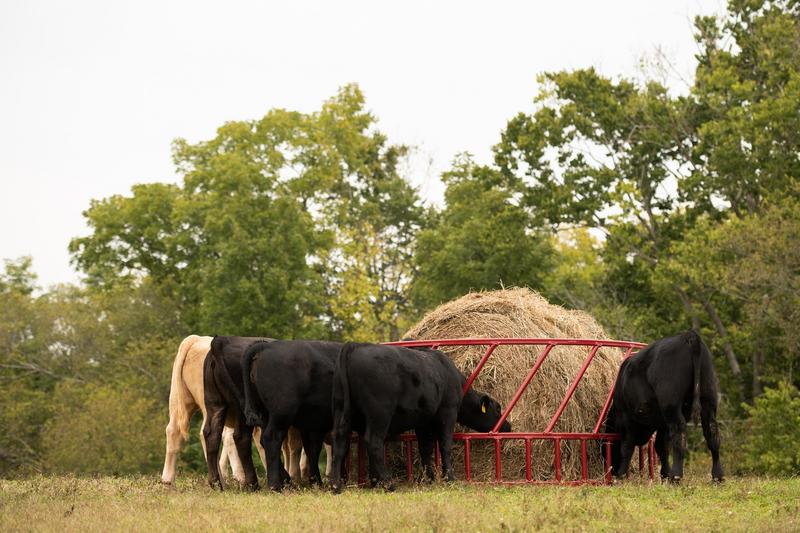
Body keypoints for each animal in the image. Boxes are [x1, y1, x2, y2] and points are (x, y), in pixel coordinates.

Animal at [161, 335, 305, 487]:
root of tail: (197, 339)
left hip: (181, 400)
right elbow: (293, 445)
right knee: (212, 434)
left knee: (175, 430)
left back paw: (169, 479)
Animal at [242, 339, 343, 491]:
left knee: (265, 441)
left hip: (267, 414)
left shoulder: (313, 424)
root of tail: (266, 345)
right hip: (282, 413)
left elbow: (312, 449)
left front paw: (316, 482)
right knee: (271, 438)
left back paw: (287, 480)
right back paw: (275, 485)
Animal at [329, 343, 512, 493]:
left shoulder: (423, 420)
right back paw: (388, 483)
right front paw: (449, 478)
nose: (508, 426)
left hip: (341, 410)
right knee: (373, 442)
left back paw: (337, 485)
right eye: (497, 409)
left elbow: (425, 447)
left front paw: (428, 478)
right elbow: (445, 445)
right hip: (380, 413)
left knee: (340, 441)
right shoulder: (448, 412)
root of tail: (355, 346)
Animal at [604, 330, 724, 483]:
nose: (612, 470)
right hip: (708, 399)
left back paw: (676, 476)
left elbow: (627, 447)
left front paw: (621, 475)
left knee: (679, 434)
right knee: (712, 432)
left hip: (671, 405)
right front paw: (665, 474)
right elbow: (662, 447)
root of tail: (689, 335)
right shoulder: (662, 424)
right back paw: (717, 476)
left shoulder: (627, 419)